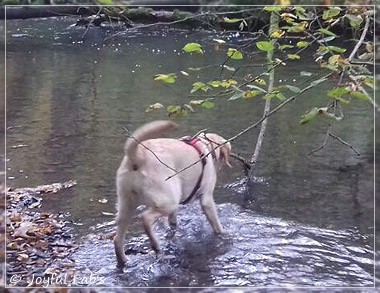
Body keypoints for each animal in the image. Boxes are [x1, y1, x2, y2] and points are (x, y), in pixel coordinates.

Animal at [113, 120, 232, 266]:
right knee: (145, 218)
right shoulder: (207, 199)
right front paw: (223, 233)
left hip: (126, 206)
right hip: (169, 201)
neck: (206, 146)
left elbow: (173, 222)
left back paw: (124, 260)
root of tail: (138, 156)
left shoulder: (174, 211)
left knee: (117, 240)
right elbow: (216, 223)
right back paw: (156, 246)